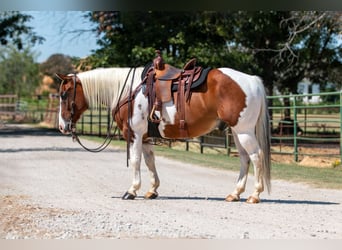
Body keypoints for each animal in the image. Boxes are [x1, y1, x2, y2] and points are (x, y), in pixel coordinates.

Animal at [57, 58, 272, 203]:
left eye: (64, 94)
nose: (61, 126)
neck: (128, 90)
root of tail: (252, 80)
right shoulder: (145, 137)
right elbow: (150, 161)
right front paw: (152, 190)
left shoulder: (134, 134)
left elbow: (135, 161)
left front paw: (132, 191)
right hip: (237, 132)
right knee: (244, 158)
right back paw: (235, 194)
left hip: (244, 131)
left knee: (256, 156)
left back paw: (254, 195)